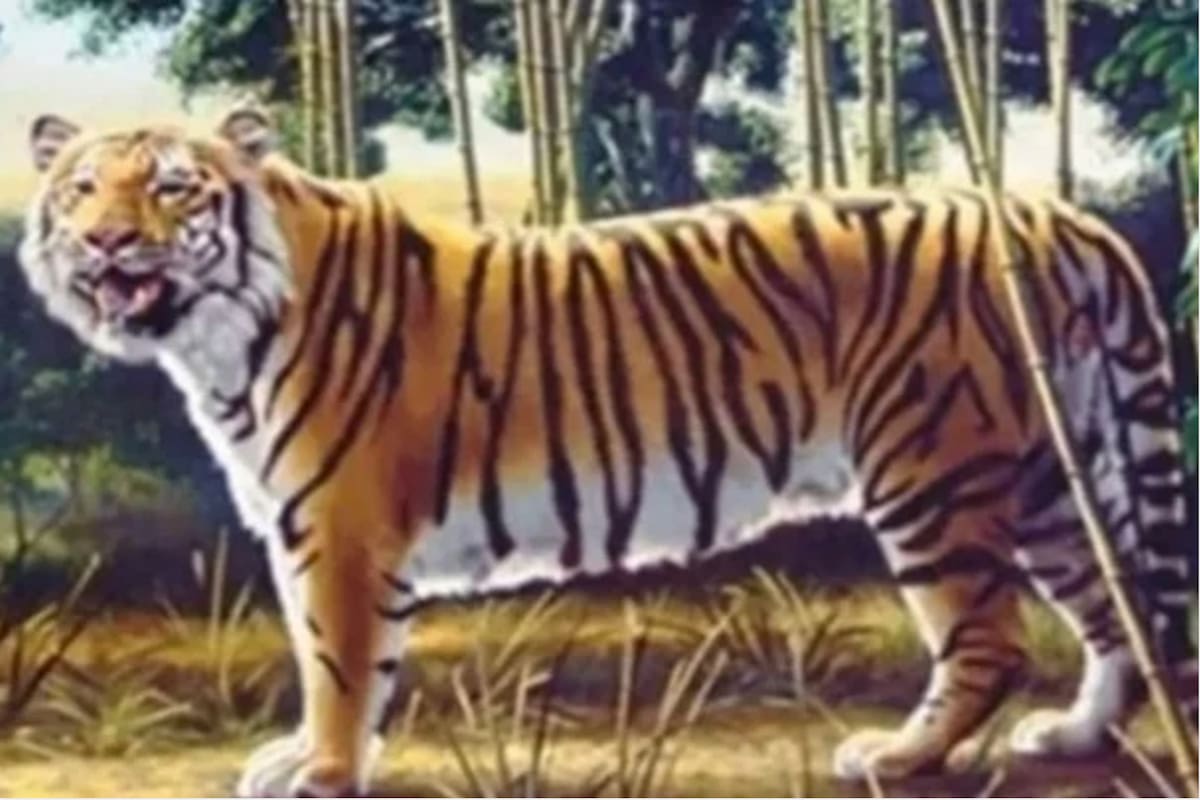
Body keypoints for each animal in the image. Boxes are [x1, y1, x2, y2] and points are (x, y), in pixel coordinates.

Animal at [17, 107, 1195, 797]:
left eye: (172, 186)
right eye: (81, 188)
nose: (104, 242)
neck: (214, 337)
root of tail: (1051, 217)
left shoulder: (338, 532)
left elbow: (338, 664)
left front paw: (322, 768)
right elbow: (333, 660)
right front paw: (314, 760)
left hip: (934, 477)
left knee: (988, 640)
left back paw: (898, 757)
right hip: (1052, 478)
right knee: (1117, 607)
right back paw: (1075, 737)